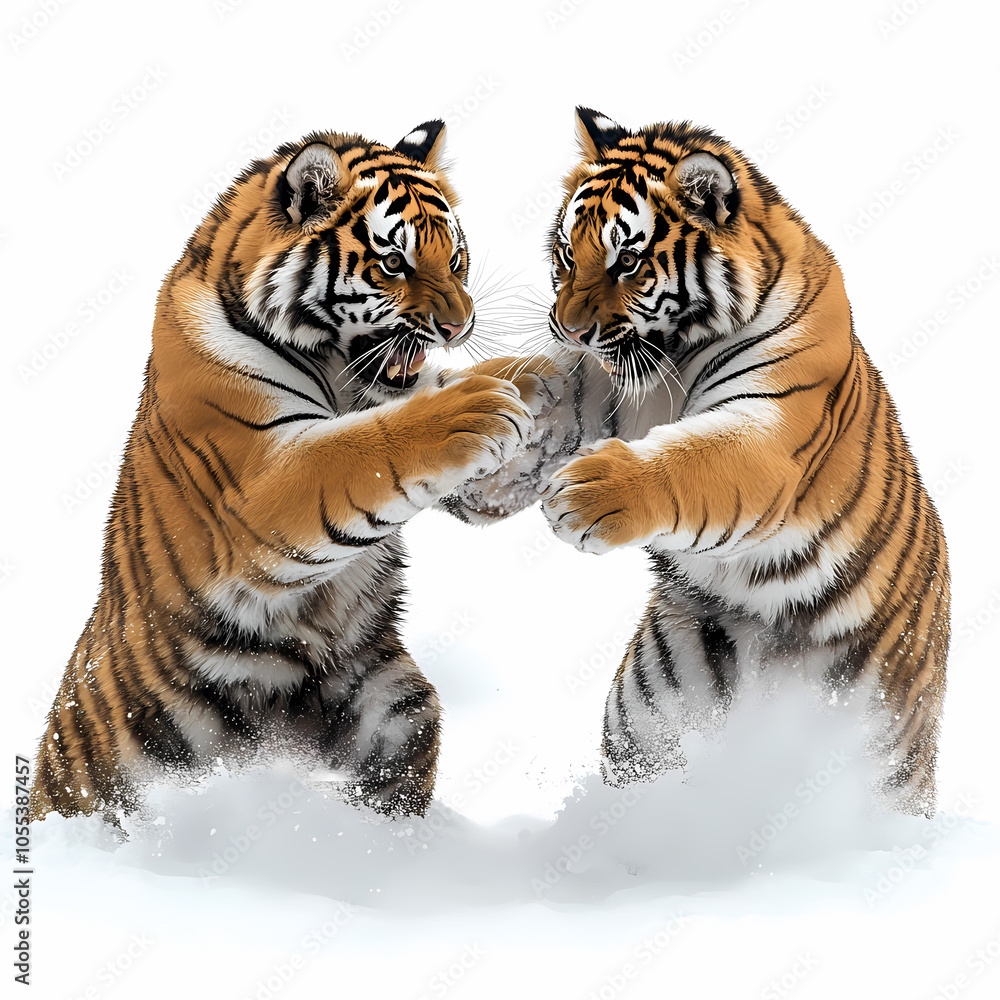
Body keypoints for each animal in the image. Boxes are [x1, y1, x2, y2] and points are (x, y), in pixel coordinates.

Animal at [29, 120, 551, 824]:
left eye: (456, 258)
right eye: (394, 263)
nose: (459, 325)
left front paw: (541, 383)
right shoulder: (262, 480)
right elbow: (370, 446)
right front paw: (482, 405)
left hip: (391, 701)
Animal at [446, 108, 950, 817]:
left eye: (628, 261)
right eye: (568, 253)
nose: (567, 327)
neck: (676, 351)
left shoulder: (766, 429)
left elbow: (692, 456)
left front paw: (587, 494)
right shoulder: (594, 392)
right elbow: (537, 389)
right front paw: (465, 426)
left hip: (876, 747)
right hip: (653, 716)